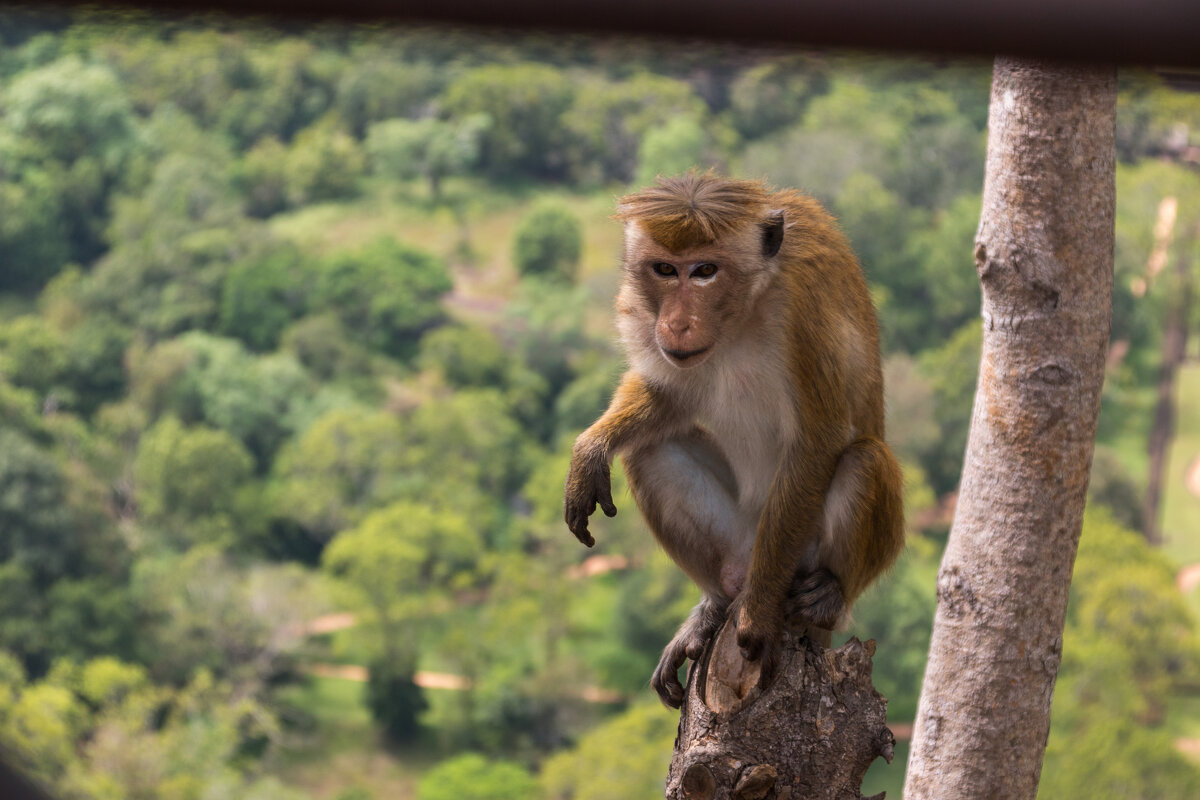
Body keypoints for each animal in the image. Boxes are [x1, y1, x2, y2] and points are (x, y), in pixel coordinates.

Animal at [561, 173, 902, 705]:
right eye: (665, 269)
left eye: (705, 271)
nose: (676, 322)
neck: (743, 313)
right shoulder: (645, 318)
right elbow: (668, 396)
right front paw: (589, 449)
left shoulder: (803, 317)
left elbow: (817, 442)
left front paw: (757, 619)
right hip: (740, 541)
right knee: (647, 449)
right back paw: (713, 607)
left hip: (790, 556)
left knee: (865, 459)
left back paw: (826, 596)